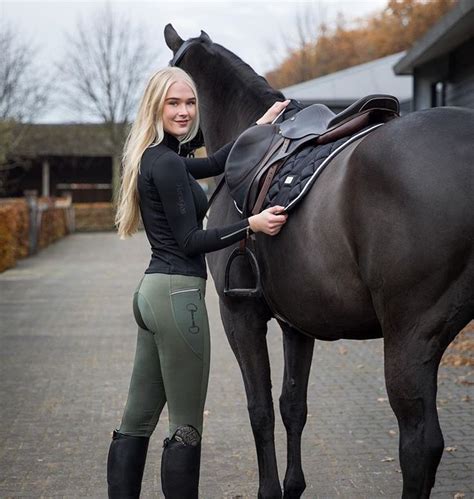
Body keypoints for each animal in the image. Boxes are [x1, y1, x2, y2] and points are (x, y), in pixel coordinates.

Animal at [165, 25, 474, 498]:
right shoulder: (298, 322)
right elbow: (292, 405)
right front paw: (293, 486)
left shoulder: (239, 314)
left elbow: (259, 408)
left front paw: (270, 490)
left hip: (410, 336)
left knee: (420, 445)